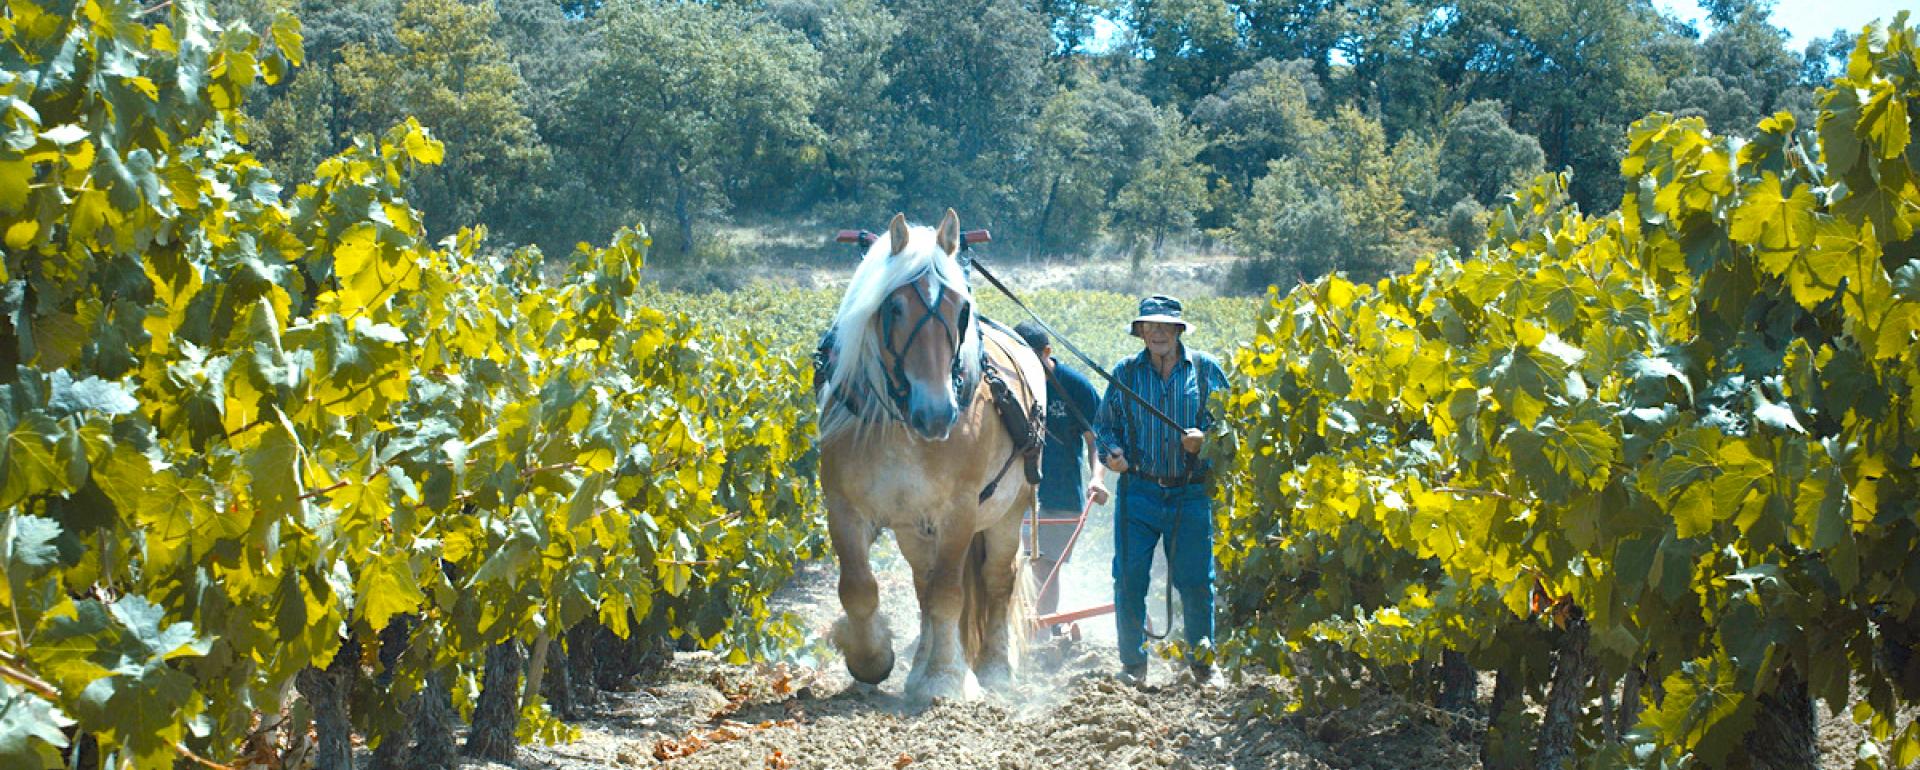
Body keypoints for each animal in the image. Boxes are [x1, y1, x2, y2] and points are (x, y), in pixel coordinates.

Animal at [817, 207, 1044, 698]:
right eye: (895, 307)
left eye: (961, 309)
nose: (937, 414)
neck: (901, 425)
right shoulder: (843, 506)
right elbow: (858, 588)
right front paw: (872, 660)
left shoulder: (958, 511)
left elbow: (948, 595)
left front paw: (945, 679)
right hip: (912, 527)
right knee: (923, 583)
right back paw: (919, 664)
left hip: (1008, 509)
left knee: (996, 580)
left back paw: (995, 670)